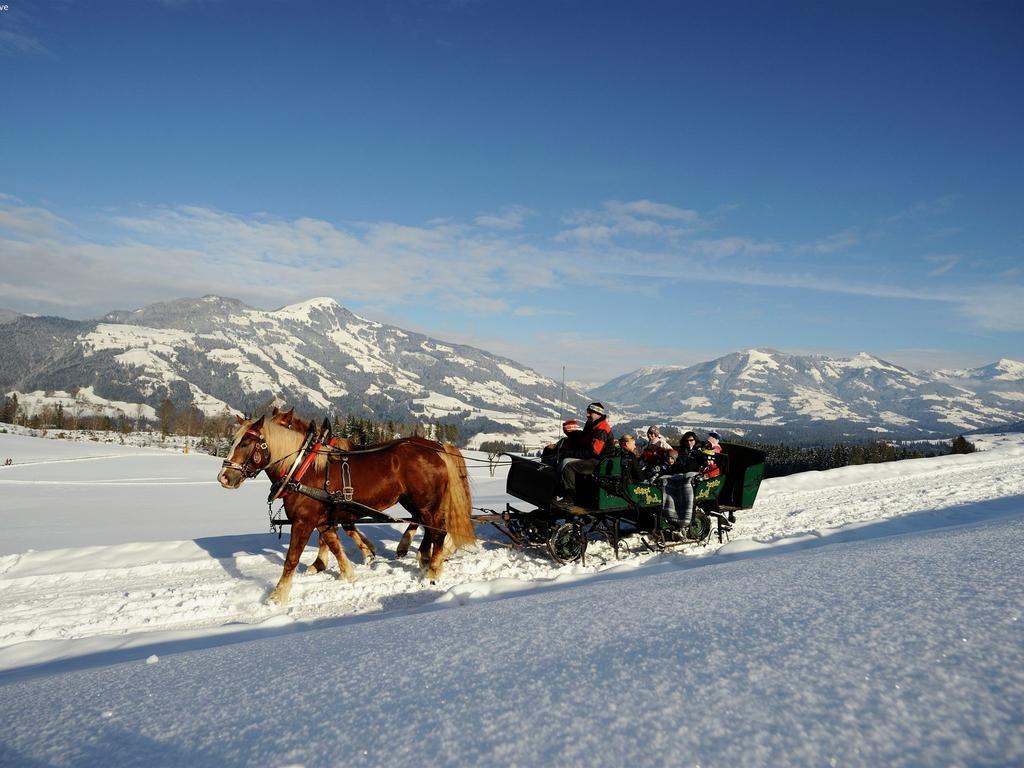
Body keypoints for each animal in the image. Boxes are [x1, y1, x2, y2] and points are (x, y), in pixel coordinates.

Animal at [216, 417, 475, 606]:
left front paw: (278, 596)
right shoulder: (323, 520)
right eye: (234, 441)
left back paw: (432, 571)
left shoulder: (303, 521)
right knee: (427, 528)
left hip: (426, 503)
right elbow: (335, 545)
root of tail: (437, 449)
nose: (224, 477)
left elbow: (291, 559)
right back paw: (423, 558)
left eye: (245, 443)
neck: (303, 468)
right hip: (415, 503)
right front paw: (351, 573)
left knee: (438, 532)